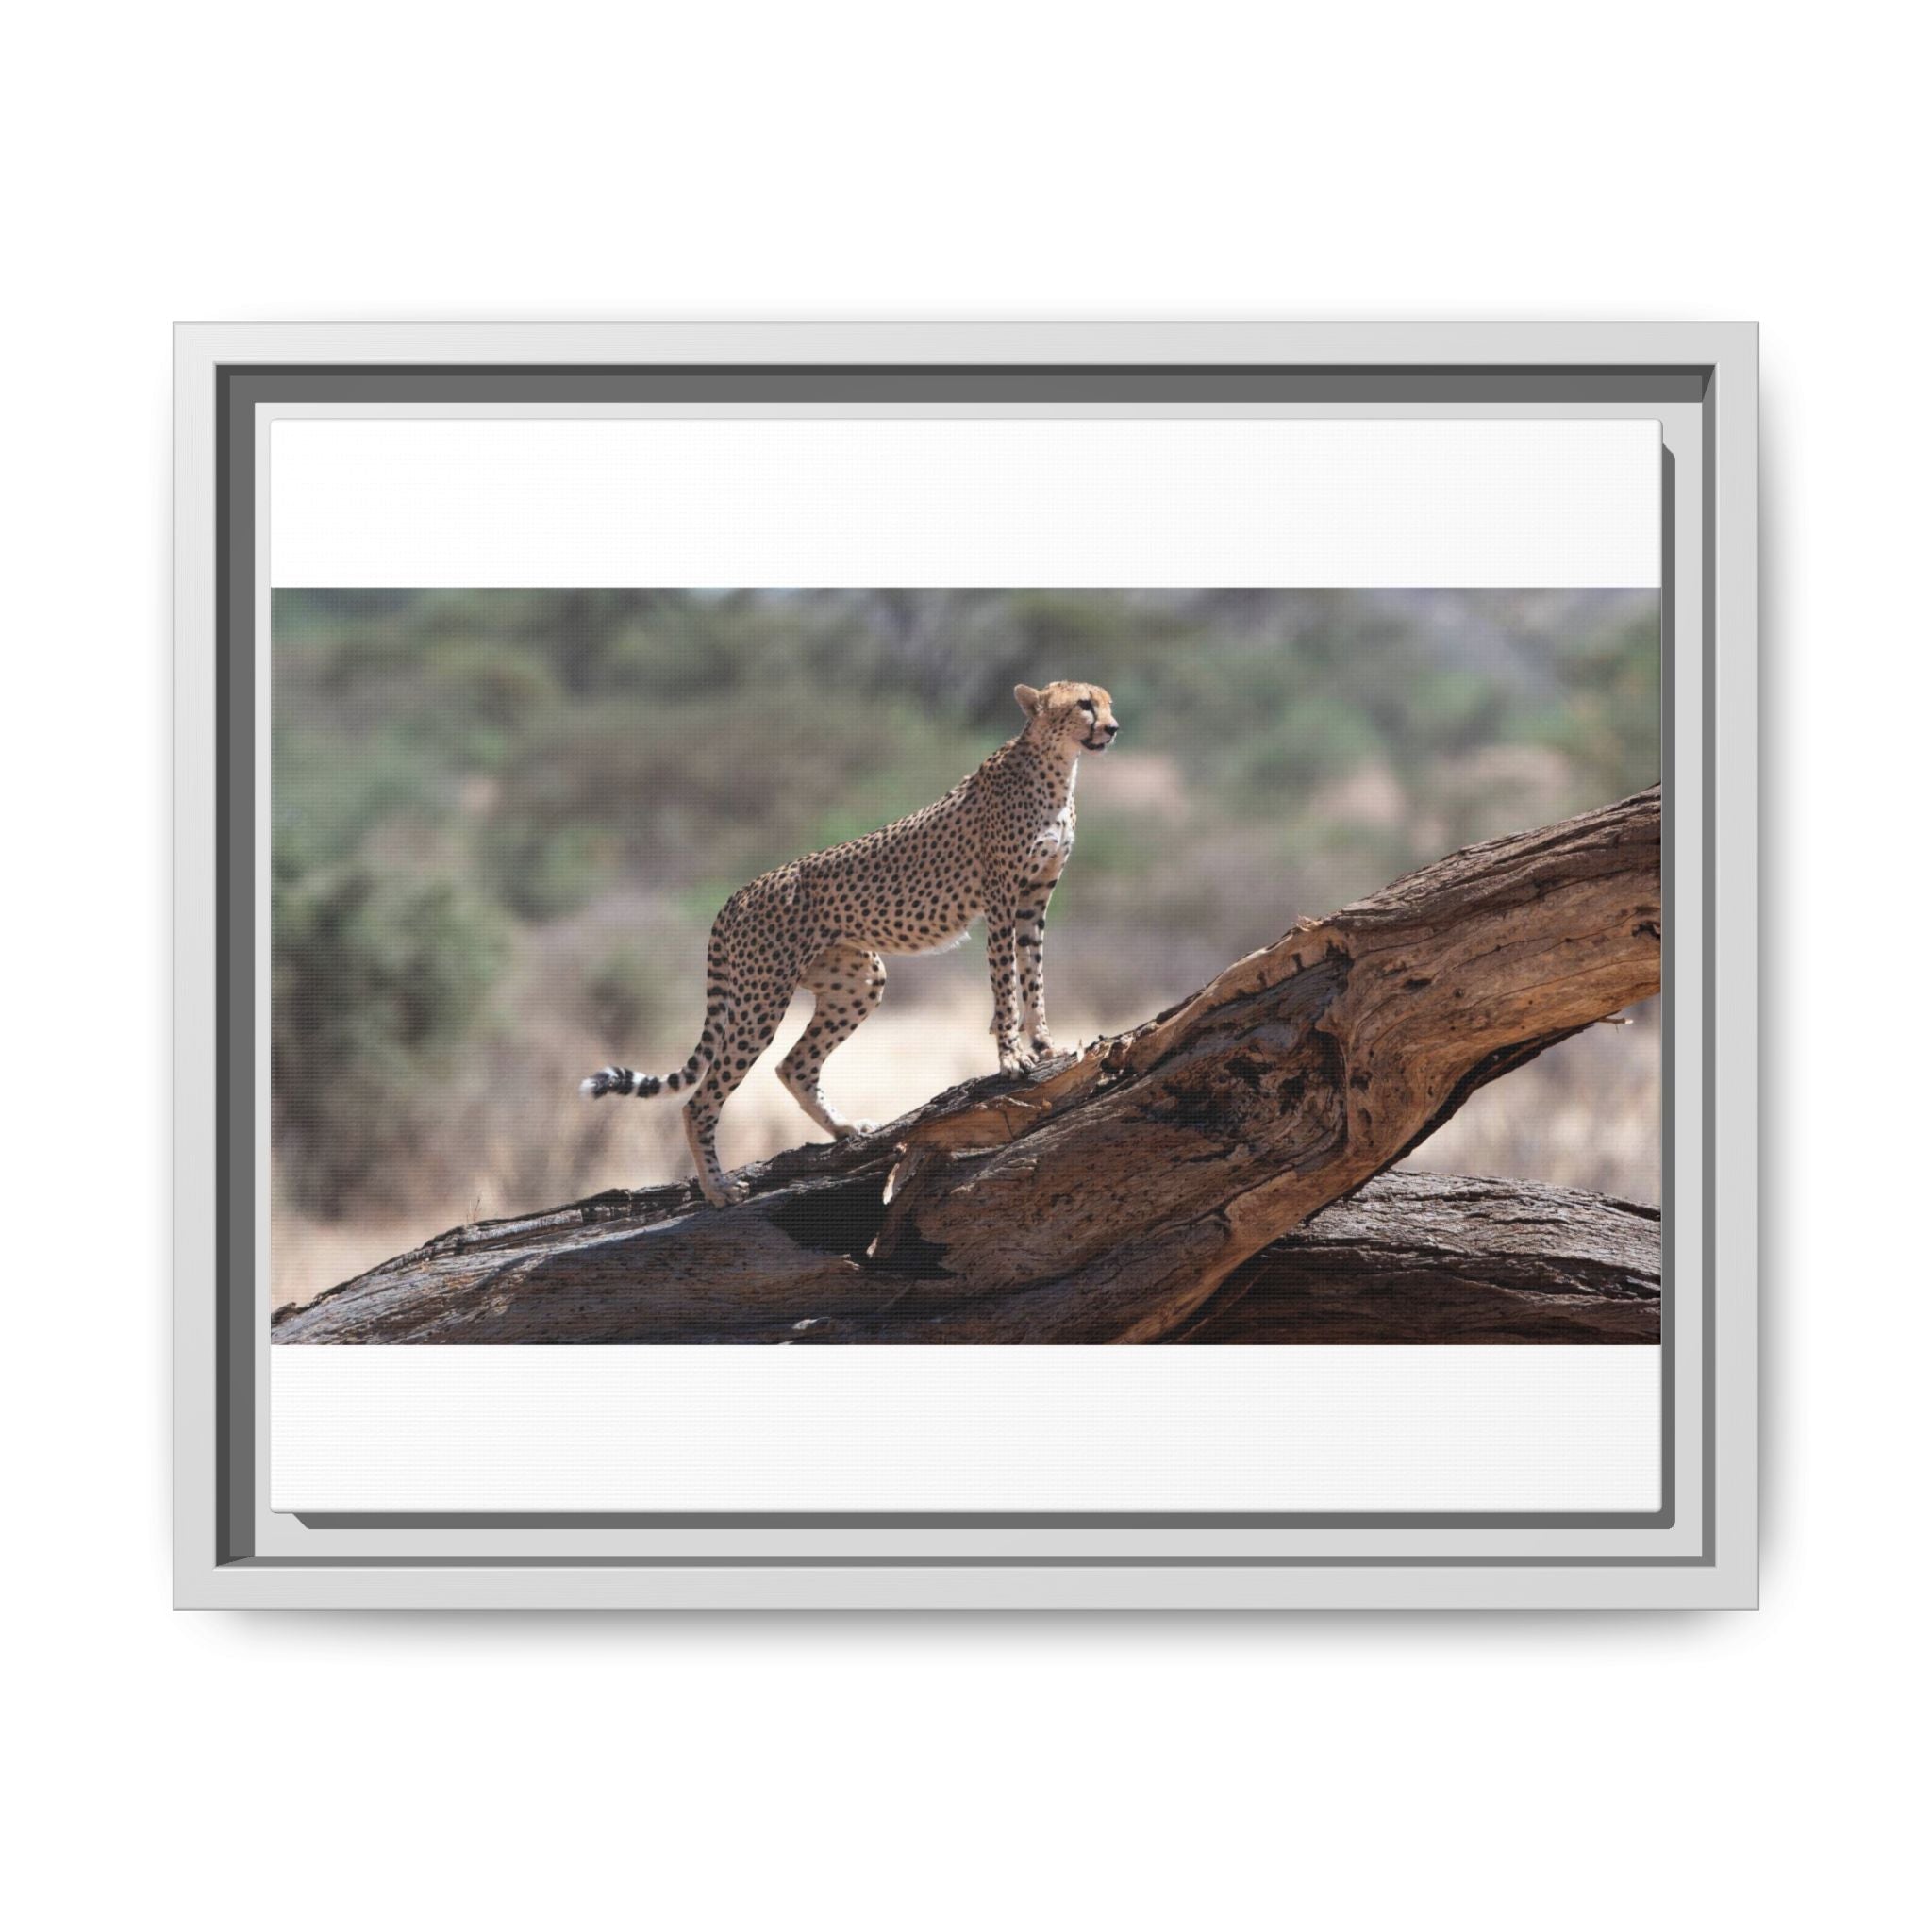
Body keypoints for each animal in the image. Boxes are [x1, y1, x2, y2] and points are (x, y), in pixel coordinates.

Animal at [582, 679, 1120, 1205]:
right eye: (1084, 705)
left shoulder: (1034, 901)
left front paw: (1045, 1043)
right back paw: (718, 1189)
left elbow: (1033, 975)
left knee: (793, 1065)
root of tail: (739, 893)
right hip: (761, 997)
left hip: (858, 979)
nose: (1113, 728)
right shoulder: (1002, 900)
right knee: (701, 1099)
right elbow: (1005, 984)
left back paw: (844, 1129)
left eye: (1107, 702)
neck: (1057, 767)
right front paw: (1011, 1057)